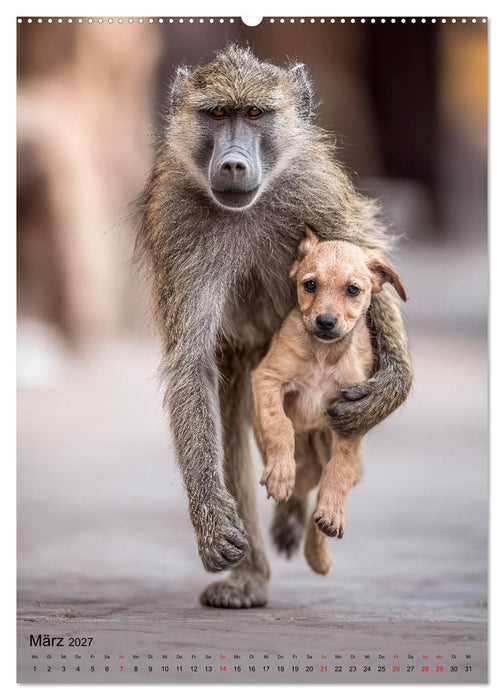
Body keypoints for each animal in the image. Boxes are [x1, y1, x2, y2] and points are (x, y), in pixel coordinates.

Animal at [137, 45, 412, 608]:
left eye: (255, 114)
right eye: (219, 114)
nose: (233, 162)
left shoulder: (316, 186)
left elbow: (365, 258)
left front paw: (392, 385)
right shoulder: (175, 217)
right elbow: (191, 363)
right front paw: (215, 525)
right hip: (249, 366)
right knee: (233, 426)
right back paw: (251, 576)